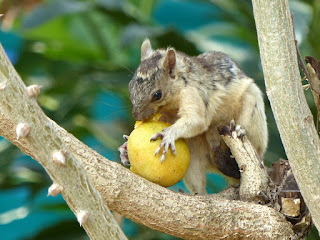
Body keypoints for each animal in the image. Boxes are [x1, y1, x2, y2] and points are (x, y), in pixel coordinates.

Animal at [121, 38, 268, 194]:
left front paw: (168, 135)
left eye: (157, 95)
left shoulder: (192, 92)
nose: (138, 116)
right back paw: (199, 195)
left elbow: (196, 120)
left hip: (253, 108)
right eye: (130, 86)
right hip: (194, 153)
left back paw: (240, 130)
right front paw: (124, 148)